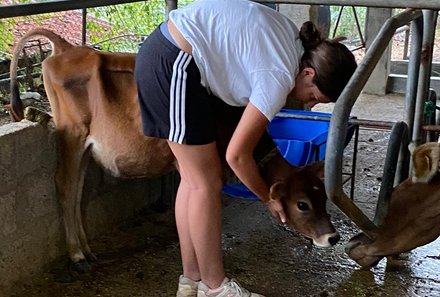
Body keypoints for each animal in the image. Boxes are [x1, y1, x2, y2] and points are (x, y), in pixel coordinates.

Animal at [10, 28, 340, 272]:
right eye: (302, 204)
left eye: (323, 195)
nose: (333, 237)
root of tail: (66, 49)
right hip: (71, 133)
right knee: (65, 186)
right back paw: (77, 255)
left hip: (85, 144)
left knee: (78, 189)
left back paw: (87, 250)